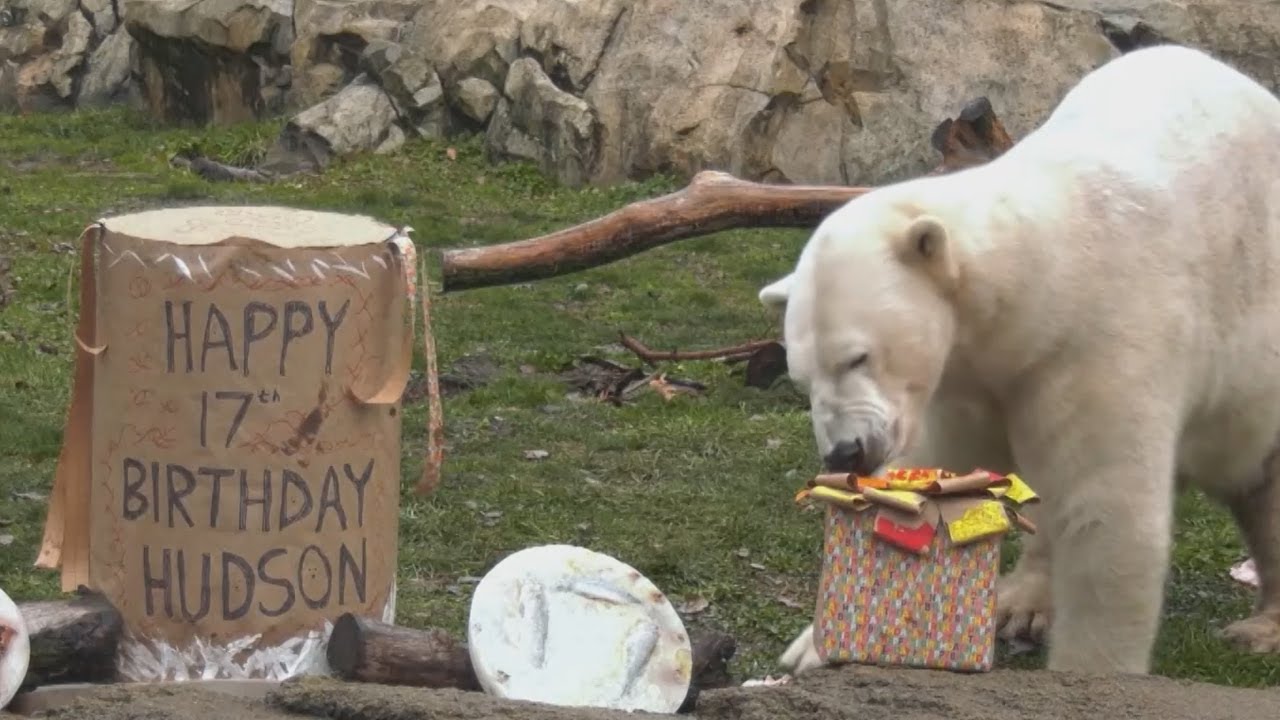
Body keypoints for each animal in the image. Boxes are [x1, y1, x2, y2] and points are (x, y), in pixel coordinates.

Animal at [752, 43, 1280, 671]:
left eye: (857, 357)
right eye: (801, 377)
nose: (845, 452)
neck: (1045, 277)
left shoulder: (1103, 337)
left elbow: (1105, 512)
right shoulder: (966, 380)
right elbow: (938, 477)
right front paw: (812, 645)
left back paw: (1262, 628)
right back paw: (1021, 604)